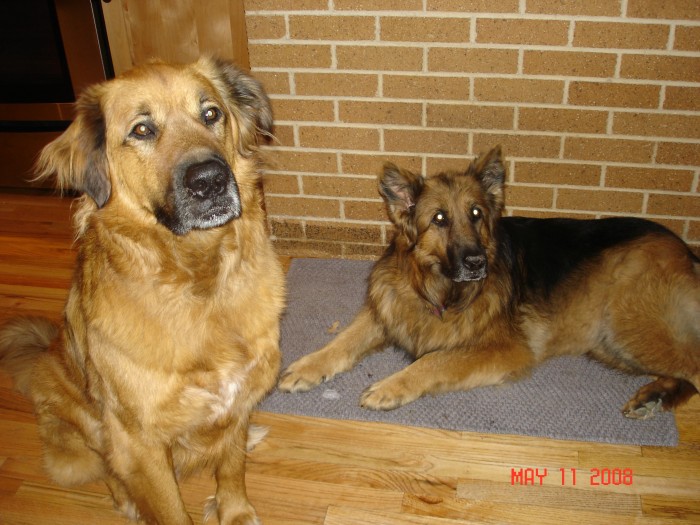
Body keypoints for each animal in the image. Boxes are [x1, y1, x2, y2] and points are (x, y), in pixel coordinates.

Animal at [0, 58, 284, 524]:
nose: (210, 180)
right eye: (142, 130)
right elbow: (169, 509)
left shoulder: (238, 401)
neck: (199, 283)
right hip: (86, 439)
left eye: (211, 114)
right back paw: (128, 501)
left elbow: (231, 467)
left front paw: (235, 512)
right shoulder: (141, 444)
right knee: (110, 474)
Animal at [278, 145, 700, 416]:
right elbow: (342, 341)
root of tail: (685, 249)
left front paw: (391, 387)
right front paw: (306, 367)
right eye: (440, 219)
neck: (439, 289)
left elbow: (434, 361)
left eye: (477, 214)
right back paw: (654, 396)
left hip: (627, 324)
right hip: (610, 343)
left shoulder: (504, 349)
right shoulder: (390, 309)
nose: (477, 262)